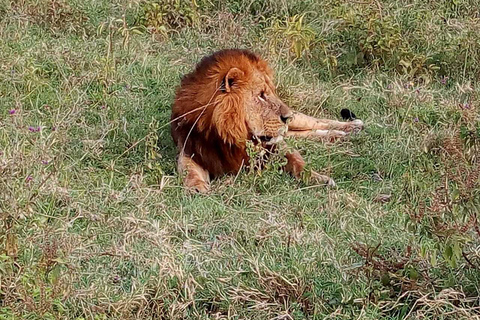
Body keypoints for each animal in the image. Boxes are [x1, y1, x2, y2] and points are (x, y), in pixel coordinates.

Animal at [171, 48, 362, 192]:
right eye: (261, 95)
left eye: (272, 92)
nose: (287, 117)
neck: (233, 137)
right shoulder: (191, 149)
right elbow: (188, 170)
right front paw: (196, 187)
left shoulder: (278, 146)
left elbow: (298, 162)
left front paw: (319, 178)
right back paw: (337, 134)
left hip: (298, 120)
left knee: (317, 121)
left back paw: (351, 128)